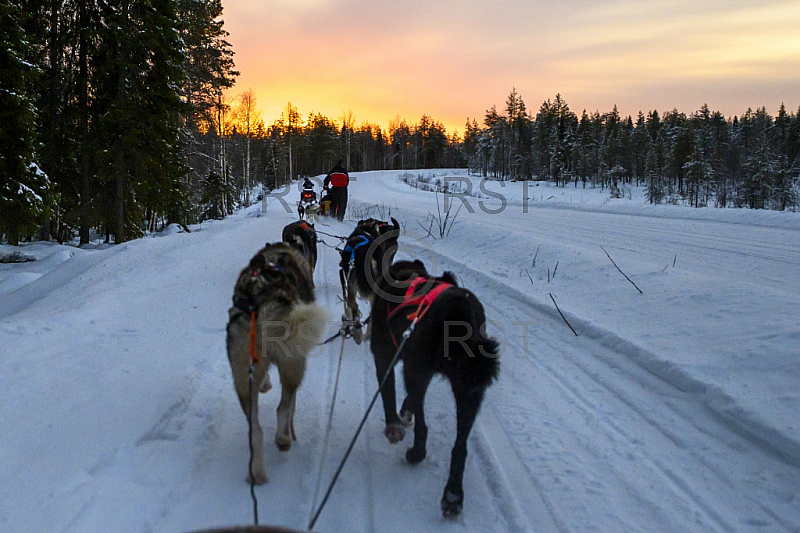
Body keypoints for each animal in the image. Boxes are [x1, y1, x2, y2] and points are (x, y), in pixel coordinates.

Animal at [225, 243, 324, 484]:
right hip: (293, 365)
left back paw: (257, 473)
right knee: (283, 407)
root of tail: (258, 299)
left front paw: (266, 384)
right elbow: (291, 407)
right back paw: (284, 439)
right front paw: (292, 433)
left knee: (256, 431)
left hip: (243, 377)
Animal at [370, 258, 500, 516]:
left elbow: (388, 395)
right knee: (460, 446)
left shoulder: (385, 357)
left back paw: (416, 453)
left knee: (422, 424)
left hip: (419, 370)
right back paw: (453, 495)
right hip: (469, 388)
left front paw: (394, 426)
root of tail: (459, 312)